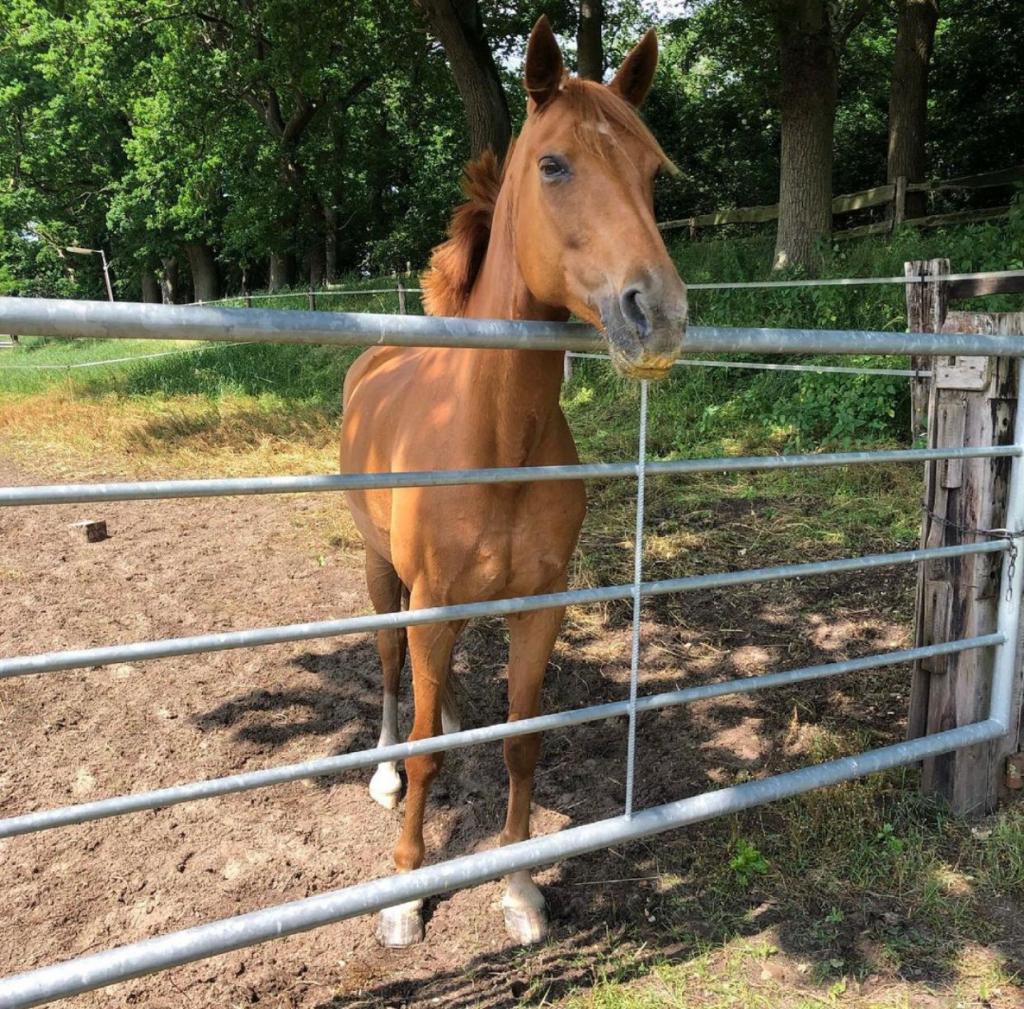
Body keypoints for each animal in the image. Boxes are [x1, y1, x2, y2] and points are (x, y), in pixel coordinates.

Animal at [340, 16, 688, 948]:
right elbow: (423, 744)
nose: (659, 313)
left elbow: (522, 741)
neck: (493, 440)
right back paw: (383, 772)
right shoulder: (427, 600)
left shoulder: (540, 605)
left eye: (652, 172)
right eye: (554, 164)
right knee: (392, 668)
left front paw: (520, 886)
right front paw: (403, 893)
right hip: (382, 571)